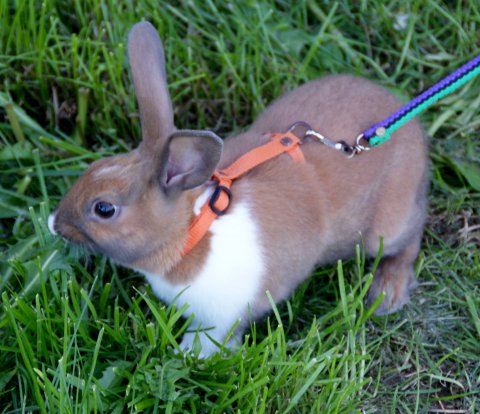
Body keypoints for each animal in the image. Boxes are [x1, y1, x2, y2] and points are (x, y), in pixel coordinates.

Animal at [48, 21, 428, 358]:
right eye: (94, 167)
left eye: (104, 209)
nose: (54, 223)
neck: (191, 235)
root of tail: (410, 127)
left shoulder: (225, 314)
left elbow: (214, 335)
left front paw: (193, 355)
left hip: (386, 226)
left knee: (408, 240)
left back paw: (387, 292)